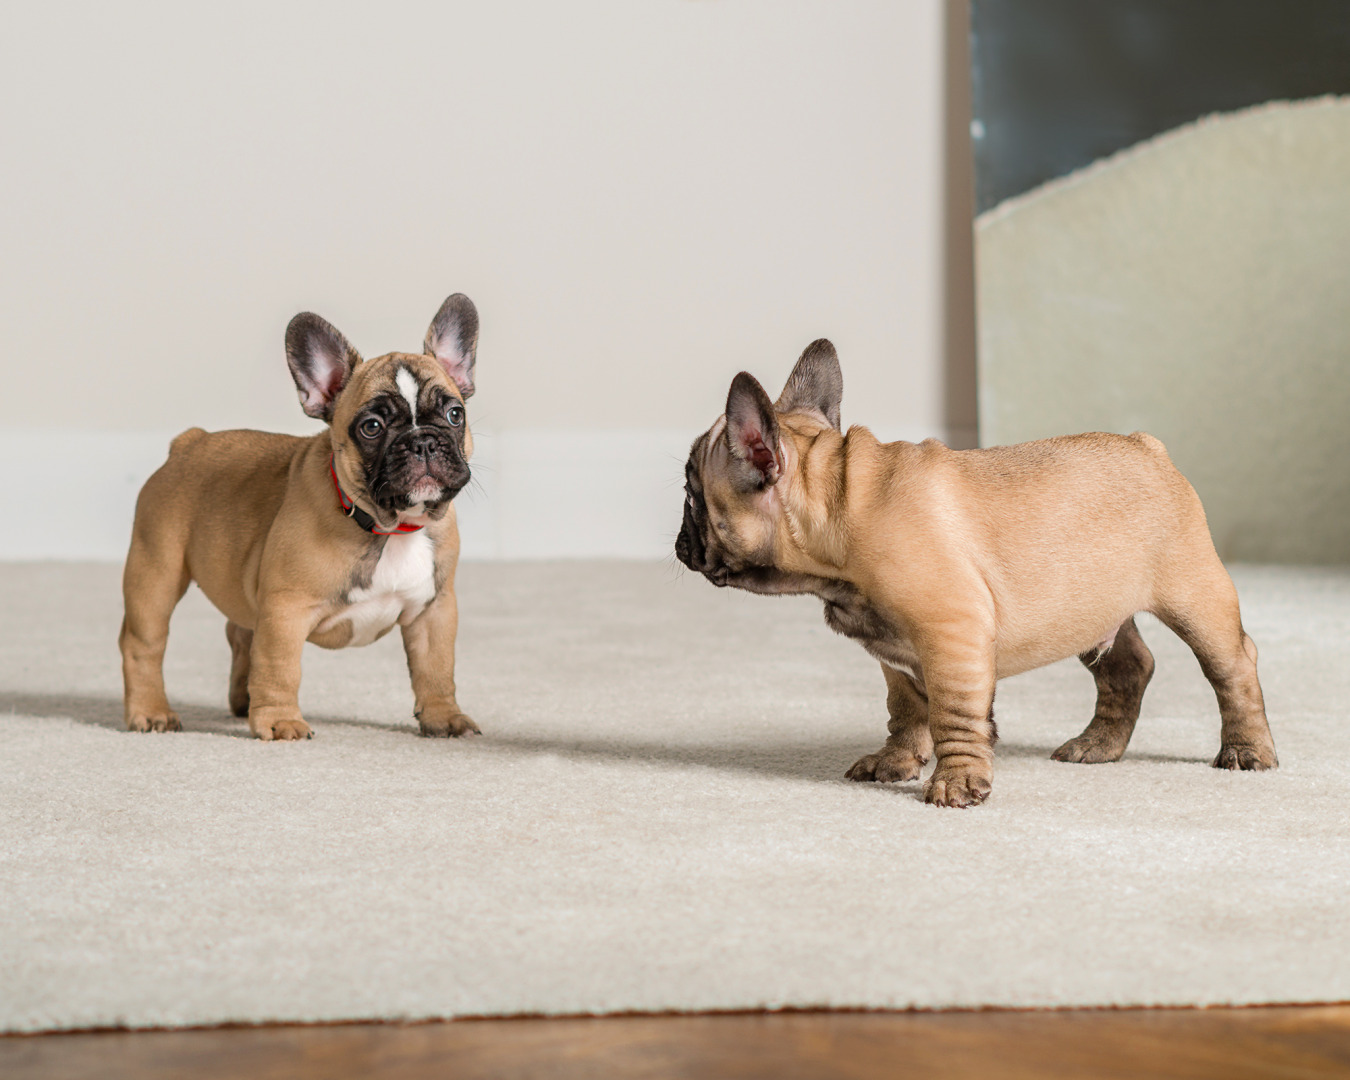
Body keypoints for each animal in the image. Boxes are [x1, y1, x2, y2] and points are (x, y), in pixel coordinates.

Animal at [120, 291, 480, 739]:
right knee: (143, 644)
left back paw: (242, 701)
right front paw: (280, 722)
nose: (423, 443)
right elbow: (280, 668)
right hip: (156, 573)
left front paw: (443, 718)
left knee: (239, 632)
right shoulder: (285, 610)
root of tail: (188, 442)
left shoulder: (434, 609)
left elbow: (436, 668)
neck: (392, 527)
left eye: (454, 415)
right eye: (372, 427)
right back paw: (151, 712)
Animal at [675, 341, 1274, 804]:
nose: (681, 543)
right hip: (1092, 609)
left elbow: (953, 714)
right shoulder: (895, 653)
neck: (839, 505)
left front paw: (957, 782)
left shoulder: (951, 636)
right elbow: (906, 708)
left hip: (1196, 595)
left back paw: (1246, 750)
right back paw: (1098, 746)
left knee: (1232, 667)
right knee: (1130, 669)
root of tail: (1147, 446)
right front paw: (896, 762)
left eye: (690, 495)